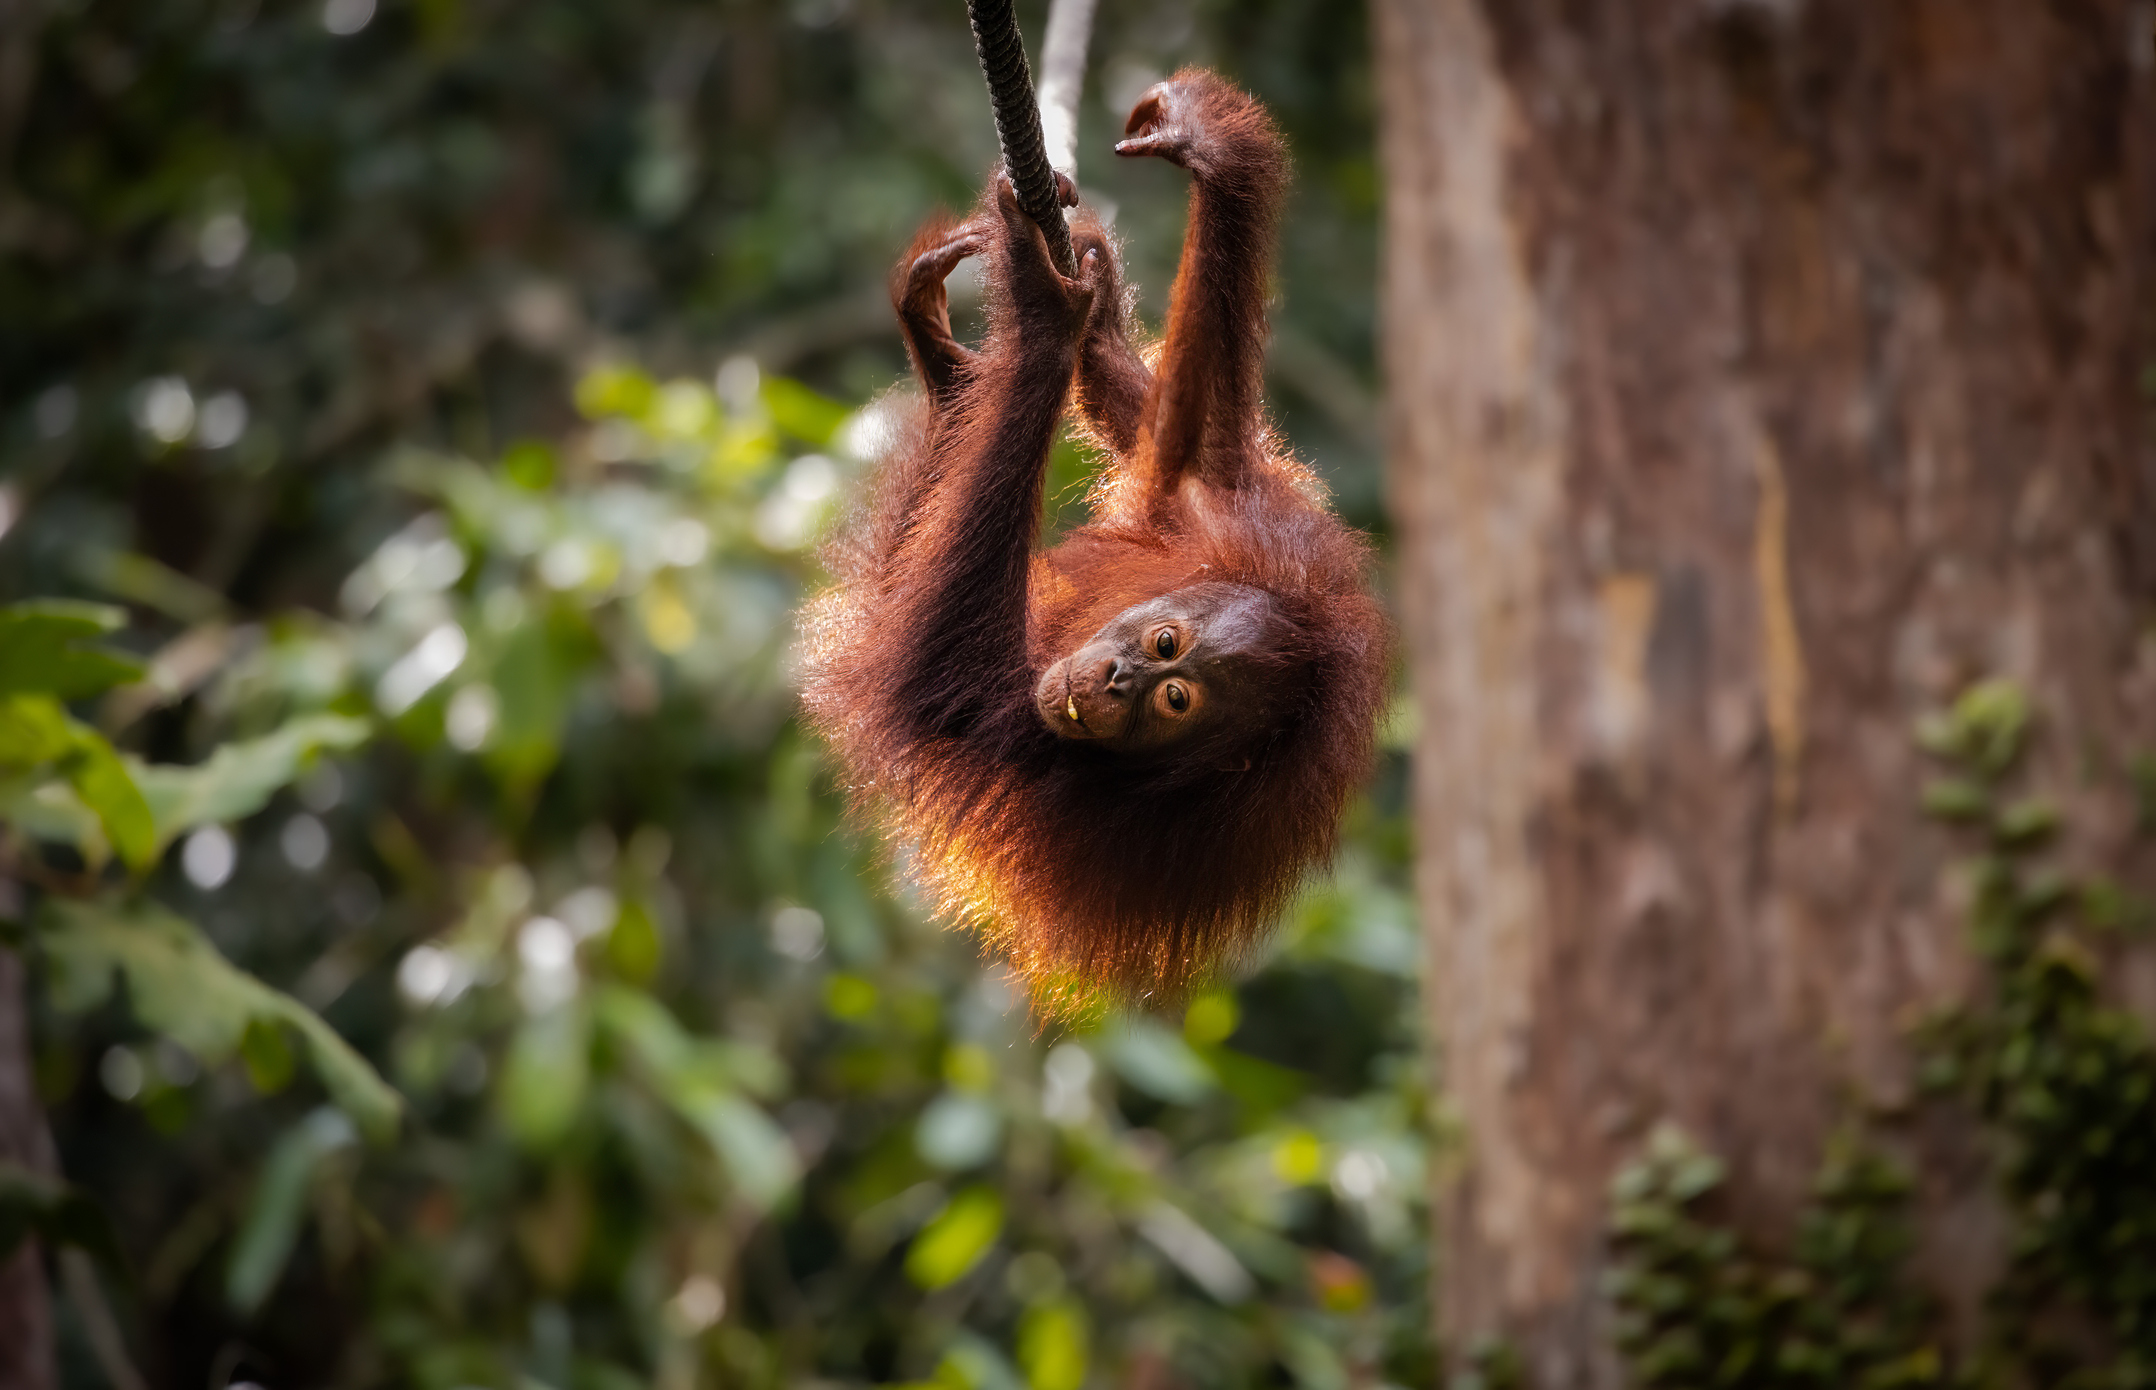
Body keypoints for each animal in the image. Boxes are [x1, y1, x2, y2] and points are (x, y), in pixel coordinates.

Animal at [802, 69, 1388, 1008]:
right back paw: (953, 374)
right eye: (1164, 641)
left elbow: (942, 690)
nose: (1119, 679)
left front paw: (1046, 315)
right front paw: (1213, 156)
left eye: (1175, 697)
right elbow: (1196, 442)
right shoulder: (1255, 540)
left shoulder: (1065, 761)